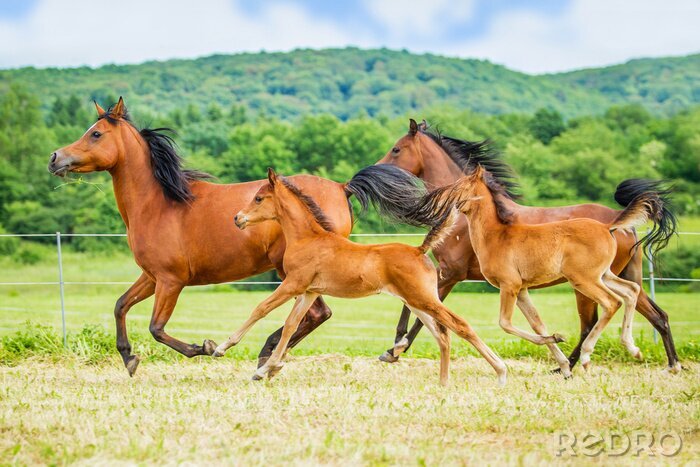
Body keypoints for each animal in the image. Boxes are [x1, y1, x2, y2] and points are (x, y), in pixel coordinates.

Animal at [47, 98, 422, 376]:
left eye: (95, 134)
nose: (54, 158)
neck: (160, 203)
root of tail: (342, 187)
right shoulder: (150, 276)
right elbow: (121, 305)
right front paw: (128, 358)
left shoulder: (170, 280)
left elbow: (157, 327)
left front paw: (205, 347)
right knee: (315, 315)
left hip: (294, 271)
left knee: (317, 314)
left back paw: (266, 354)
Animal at [211, 168, 506, 388]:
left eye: (259, 198)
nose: (237, 218)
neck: (309, 238)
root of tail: (419, 249)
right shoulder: (308, 291)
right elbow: (290, 326)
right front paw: (267, 369)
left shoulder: (293, 284)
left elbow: (261, 310)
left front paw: (222, 348)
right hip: (417, 302)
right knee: (442, 334)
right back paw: (443, 383)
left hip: (423, 299)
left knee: (460, 325)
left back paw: (501, 371)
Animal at [374, 119, 680, 372]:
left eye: (396, 149)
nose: (375, 168)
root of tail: (617, 223)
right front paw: (395, 348)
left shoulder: (451, 273)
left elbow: (419, 309)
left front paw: (395, 349)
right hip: (620, 274)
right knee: (653, 311)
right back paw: (666, 362)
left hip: (584, 282)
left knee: (596, 318)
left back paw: (577, 361)